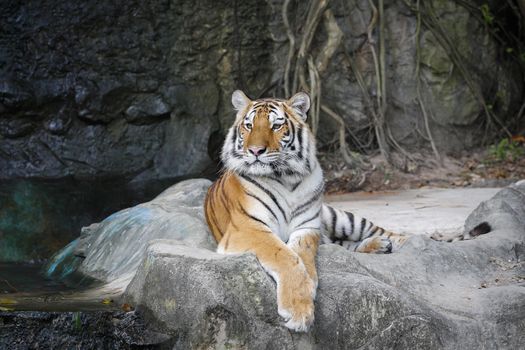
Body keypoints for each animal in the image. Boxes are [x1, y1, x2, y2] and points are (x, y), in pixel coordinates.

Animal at [205, 90, 410, 330]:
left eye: (276, 126)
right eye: (248, 125)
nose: (255, 151)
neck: (285, 177)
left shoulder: (307, 226)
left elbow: (301, 254)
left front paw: (307, 287)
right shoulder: (248, 228)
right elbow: (285, 255)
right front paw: (299, 309)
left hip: (340, 218)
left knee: (377, 231)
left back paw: (397, 243)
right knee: (344, 245)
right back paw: (380, 246)